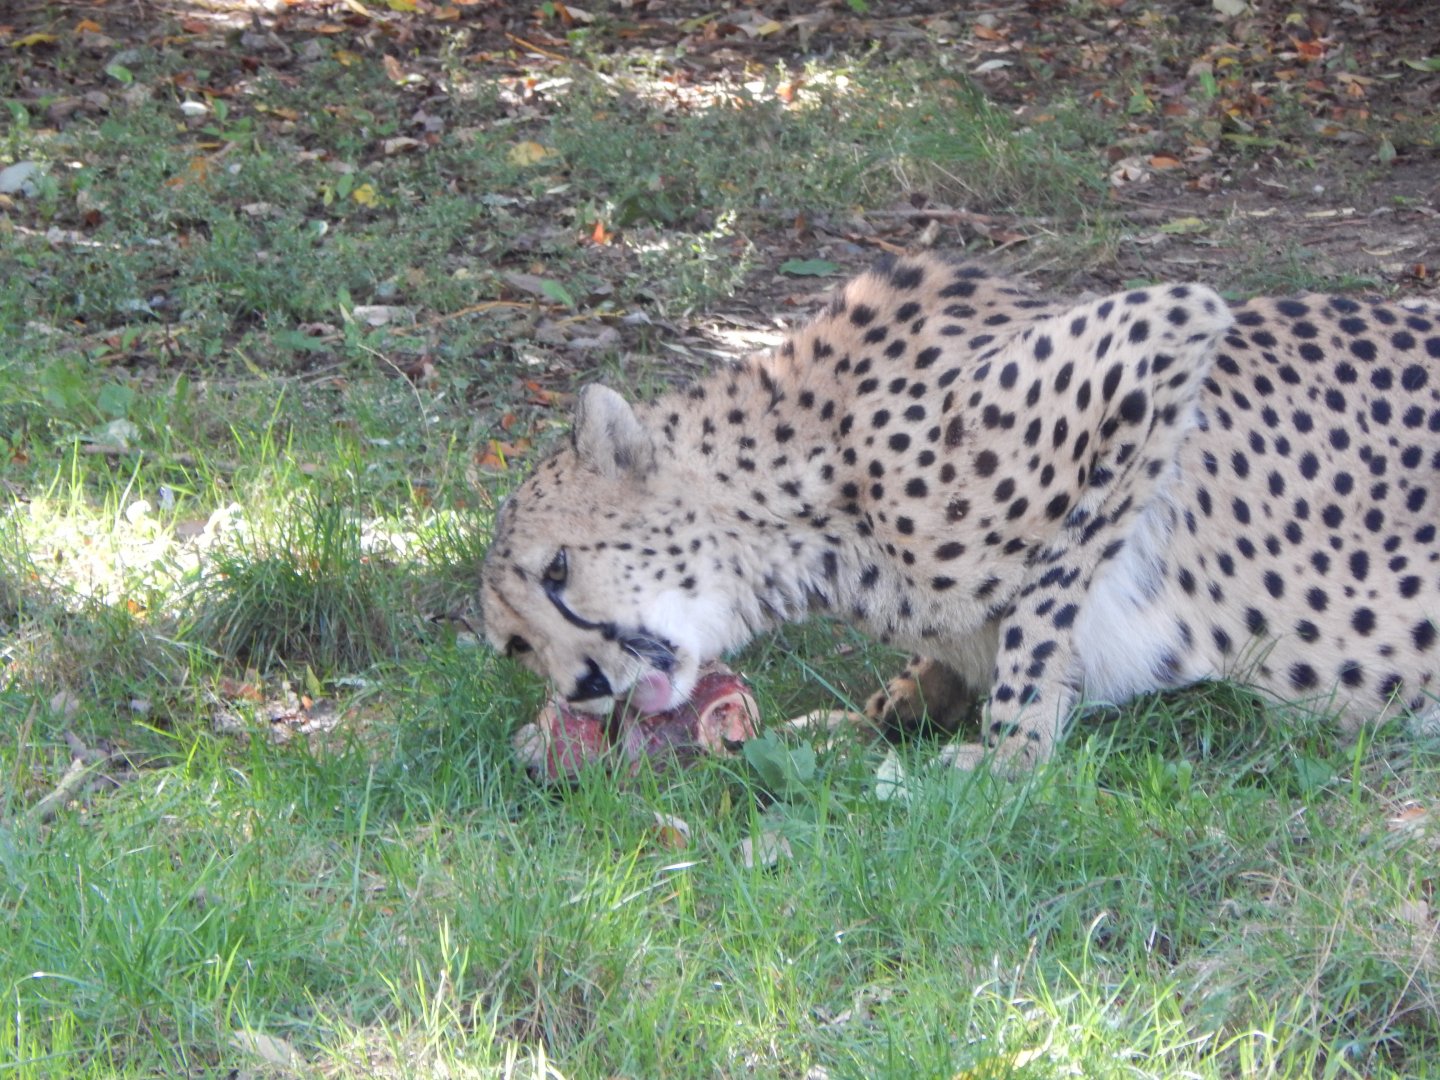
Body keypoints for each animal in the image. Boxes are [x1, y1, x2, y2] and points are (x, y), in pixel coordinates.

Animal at [480, 252, 1440, 770]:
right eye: (517, 647)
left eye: (559, 569)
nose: (583, 687)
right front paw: (875, 717)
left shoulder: (1165, 329)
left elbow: (1044, 603)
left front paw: (1009, 751)